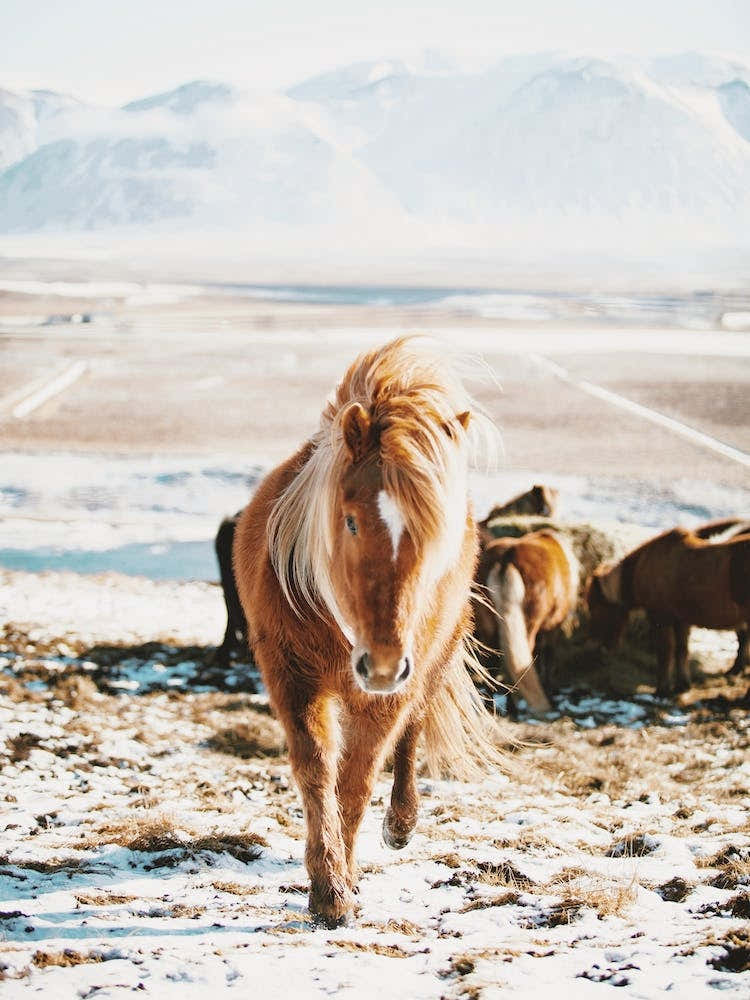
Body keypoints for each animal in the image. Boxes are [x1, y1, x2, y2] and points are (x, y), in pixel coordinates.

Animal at [233, 337, 503, 927]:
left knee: (413, 730)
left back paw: (401, 824)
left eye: (433, 534)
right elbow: (316, 773)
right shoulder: (290, 677)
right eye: (351, 520)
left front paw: (343, 884)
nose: (380, 665)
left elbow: (356, 782)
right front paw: (328, 888)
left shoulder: (386, 695)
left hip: (431, 661)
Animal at [474, 529, 579, 714]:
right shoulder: (553, 628)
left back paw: (491, 707)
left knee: (492, 662)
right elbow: (548, 658)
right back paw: (513, 708)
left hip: (489, 628)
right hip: (528, 626)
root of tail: (506, 558)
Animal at [586, 519, 750, 695]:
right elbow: (681, 650)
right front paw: (682, 684)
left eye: (596, 608)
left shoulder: (661, 617)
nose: (595, 647)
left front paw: (662, 689)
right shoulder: (681, 620)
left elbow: (665, 652)